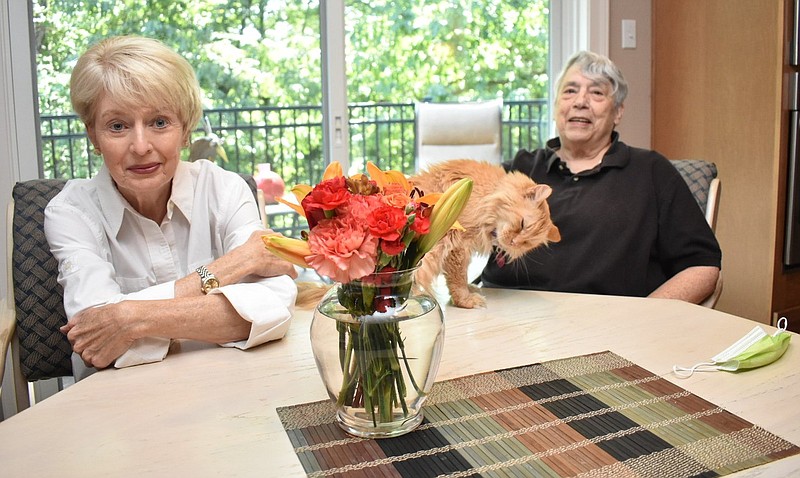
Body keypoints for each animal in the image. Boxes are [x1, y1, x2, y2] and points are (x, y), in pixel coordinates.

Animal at [410, 161, 560, 308]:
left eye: (526, 243)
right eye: (522, 224)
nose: (514, 242)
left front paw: (470, 289)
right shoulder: (458, 244)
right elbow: (459, 279)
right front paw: (466, 300)